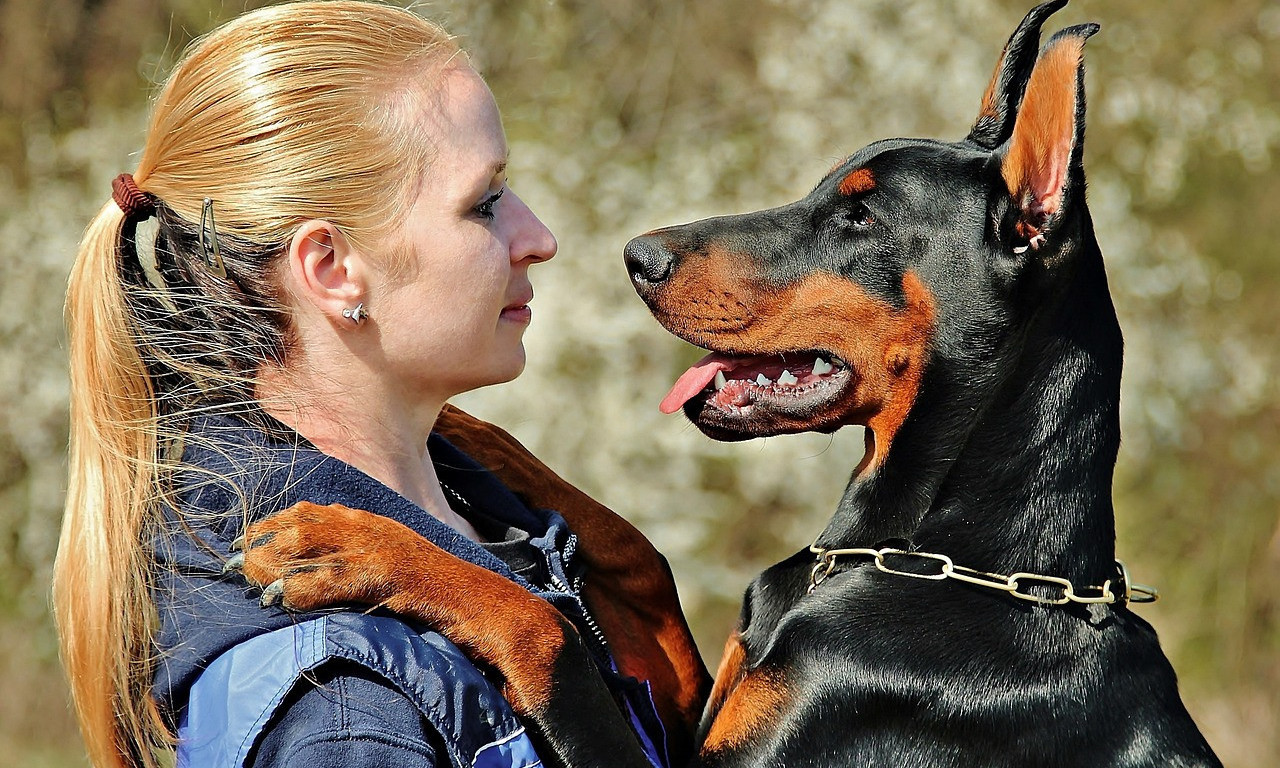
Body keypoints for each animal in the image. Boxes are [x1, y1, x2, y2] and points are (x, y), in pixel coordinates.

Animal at [238, 3, 1218, 762]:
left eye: (861, 214)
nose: (637, 257)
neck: (954, 561)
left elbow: (545, 628)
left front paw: (345, 547)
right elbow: (637, 551)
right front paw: (467, 431)